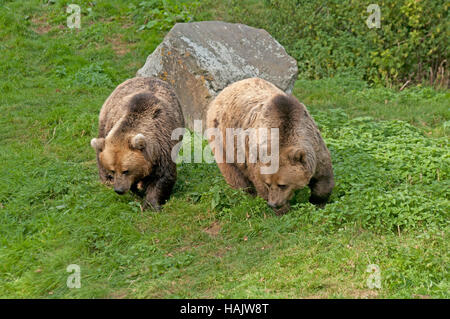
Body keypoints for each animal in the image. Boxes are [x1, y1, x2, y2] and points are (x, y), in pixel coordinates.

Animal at [90, 77, 184, 211]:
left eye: (126, 170)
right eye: (113, 170)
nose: (119, 190)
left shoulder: (164, 145)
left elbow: (163, 176)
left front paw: (150, 204)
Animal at [207, 77, 334, 215]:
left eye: (283, 185)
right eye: (268, 183)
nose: (273, 203)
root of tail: (225, 90)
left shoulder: (314, 145)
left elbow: (323, 177)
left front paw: (318, 201)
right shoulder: (255, 157)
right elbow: (258, 179)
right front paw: (282, 210)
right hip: (223, 140)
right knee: (233, 173)